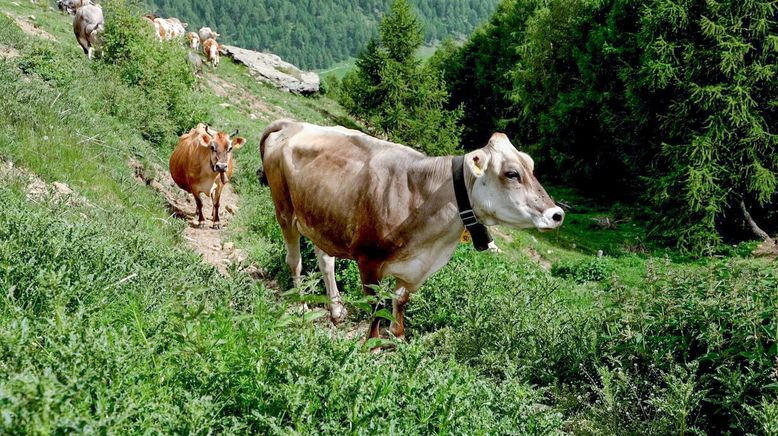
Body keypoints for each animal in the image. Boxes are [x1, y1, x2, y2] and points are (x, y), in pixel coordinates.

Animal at [260, 120, 564, 340]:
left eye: (531, 167)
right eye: (512, 174)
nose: (556, 214)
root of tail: (293, 124)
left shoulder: (414, 270)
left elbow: (400, 301)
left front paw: (398, 336)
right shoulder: (368, 261)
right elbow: (377, 308)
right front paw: (372, 345)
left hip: (322, 217)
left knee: (326, 260)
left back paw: (335, 309)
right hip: (284, 211)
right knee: (295, 261)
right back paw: (301, 305)